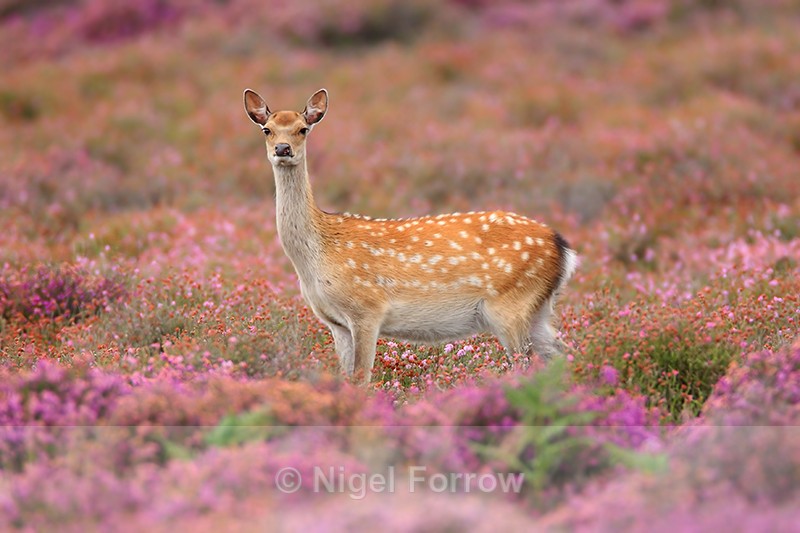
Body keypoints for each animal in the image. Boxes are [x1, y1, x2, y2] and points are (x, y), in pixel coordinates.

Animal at [243, 88, 578, 384]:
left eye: (303, 129)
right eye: (267, 129)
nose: (283, 150)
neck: (317, 256)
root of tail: (563, 248)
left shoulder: (367, 309)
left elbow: (361, 378)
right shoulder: (335, 323)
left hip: (511, 304)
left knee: (528, 364)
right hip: (537, 310)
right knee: (563, 354)